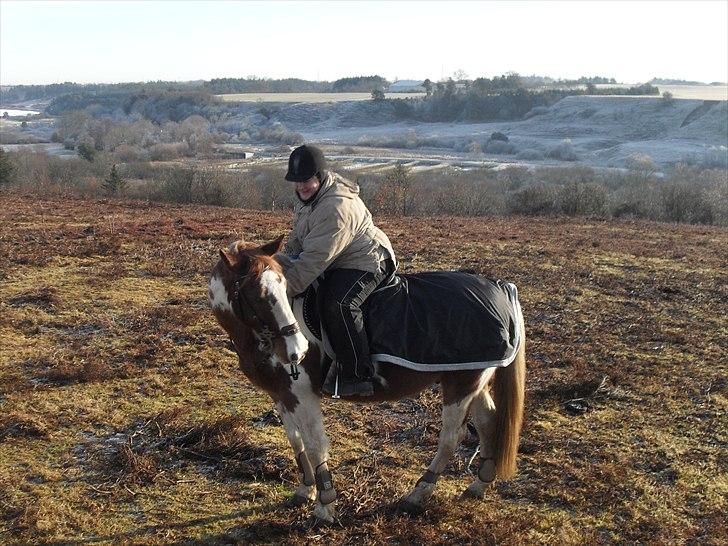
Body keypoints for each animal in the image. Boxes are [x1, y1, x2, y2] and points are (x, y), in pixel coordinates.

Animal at [208, 235, 528, 524]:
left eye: (283, 287)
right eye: (256, 293)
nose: (297, 351)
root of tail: (502, 287)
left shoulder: (302, 394)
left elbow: (314, 444)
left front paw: (325, 507)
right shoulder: (282, 395)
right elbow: (296, 442)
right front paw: (305, 490)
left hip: (461, 385)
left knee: (452, 437)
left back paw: (418, 494)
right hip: (474, 379)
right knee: (488, 422)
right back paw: (479, 485)